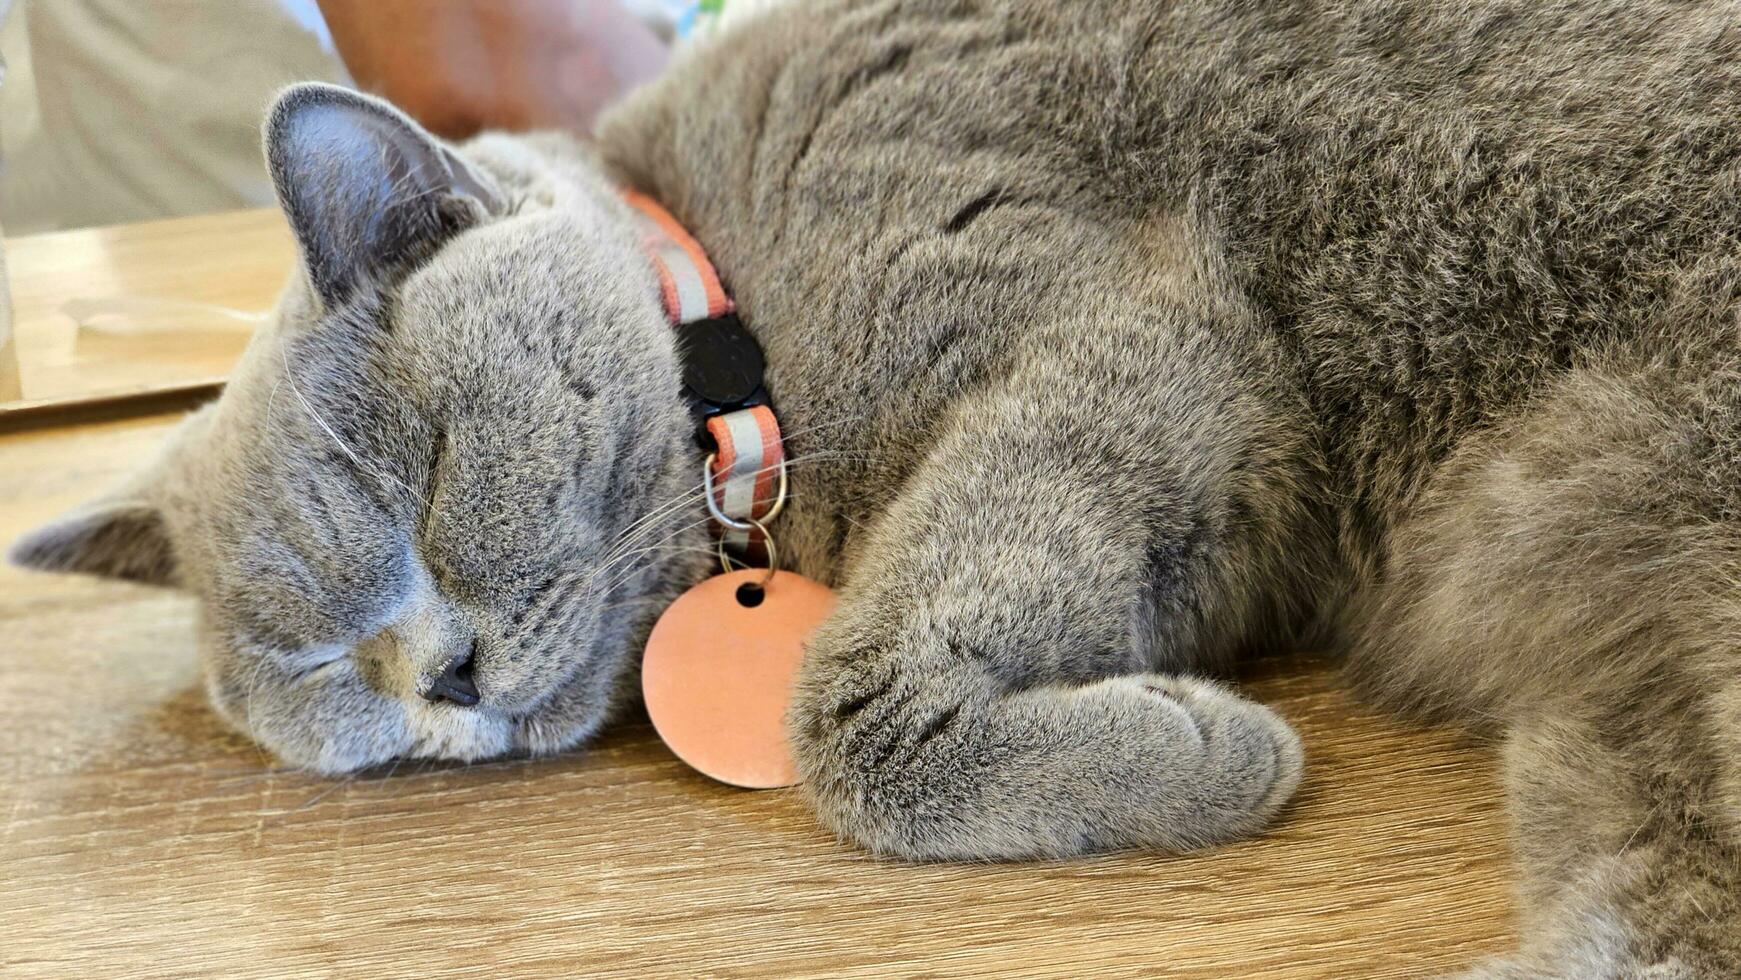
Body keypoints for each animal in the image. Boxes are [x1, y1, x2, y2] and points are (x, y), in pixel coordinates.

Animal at [13, 0, 1741, 974]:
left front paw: (1214, 753)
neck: (733, 314)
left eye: (428, 470)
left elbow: (845, 712)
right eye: (314, 667)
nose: (433, 674)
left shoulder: (1126, 327)